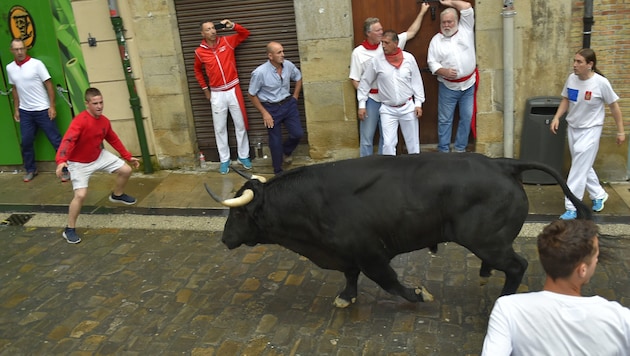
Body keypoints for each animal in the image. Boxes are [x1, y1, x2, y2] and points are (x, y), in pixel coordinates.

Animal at [206, 154, 592, 308]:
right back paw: (485, 275)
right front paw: (346, 297)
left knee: (517, 265)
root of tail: (502, 163)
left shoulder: (372, 254)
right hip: (491, 242)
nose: (223, 239)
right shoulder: (348, 253)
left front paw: (420, 294)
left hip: (487, 241)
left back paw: (502, 296)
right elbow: (349, 277)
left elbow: (390, 282)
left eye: (237, 214)